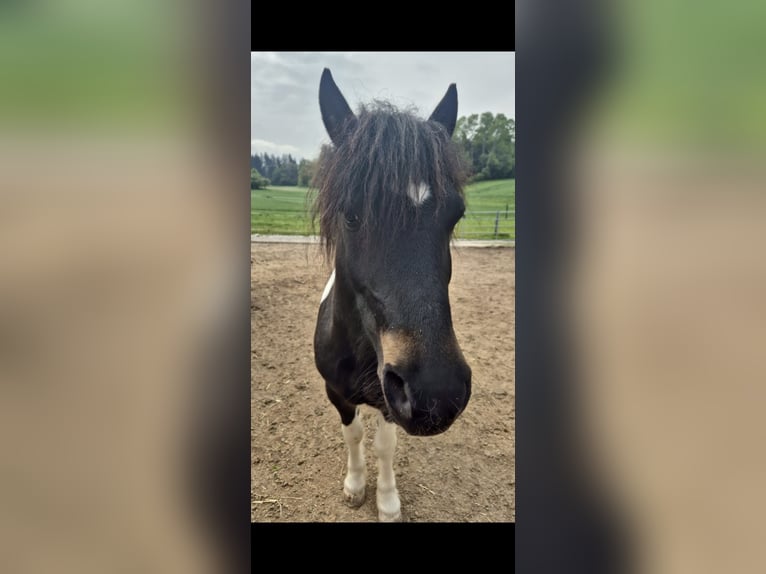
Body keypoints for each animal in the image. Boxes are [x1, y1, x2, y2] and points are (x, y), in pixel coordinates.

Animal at [314, 70, 472, 524]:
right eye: (351, 215)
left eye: (455, 215)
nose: (438, 392)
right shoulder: (337, 393)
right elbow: (353, 435)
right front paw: (355, 486)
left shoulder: (390, 402)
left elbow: (385, 445)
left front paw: (387, 501)